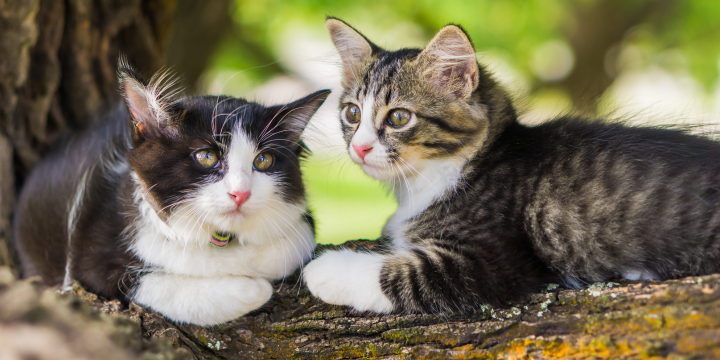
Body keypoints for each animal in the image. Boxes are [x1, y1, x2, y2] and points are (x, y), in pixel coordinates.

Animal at [14, 62, 330, 326]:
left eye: (263, 161)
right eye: (206, 157)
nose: (240, 193)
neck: (219, 240)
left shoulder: (301, 224)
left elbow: (295, 242)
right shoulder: (89, 261)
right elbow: (152, 285)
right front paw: (254, 287)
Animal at [300, 18, 720, 314]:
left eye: (399, 117)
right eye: (352, 113)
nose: (360, 147)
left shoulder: (491, 261)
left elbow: (401, 275)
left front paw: (323, 269)